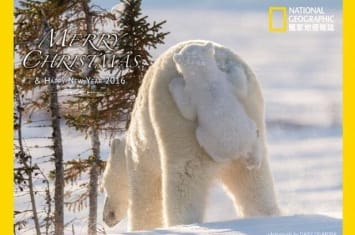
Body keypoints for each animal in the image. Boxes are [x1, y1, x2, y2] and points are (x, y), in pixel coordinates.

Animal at [102, 40, 280, 231]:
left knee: (184, 180)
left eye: (103, 186)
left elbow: (146, 198)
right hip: (251, 113)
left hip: (177, 127)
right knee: (255, 184)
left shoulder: (141, 156)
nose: (107, 217)